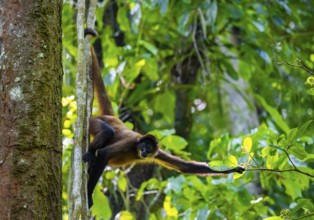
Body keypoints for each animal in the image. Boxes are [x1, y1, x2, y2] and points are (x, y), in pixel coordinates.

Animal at [83, 28, 245, 208]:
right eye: (143, 145)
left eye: (149, 147)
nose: (145, 151)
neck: (135, 150)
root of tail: (113, 117)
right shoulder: (130, 143)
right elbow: (104, 153)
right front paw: (88, 194)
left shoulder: (157, 152)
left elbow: (185, 167)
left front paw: (235, 168)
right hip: (95, 121)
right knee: (107, 131)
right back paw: (91, 153)